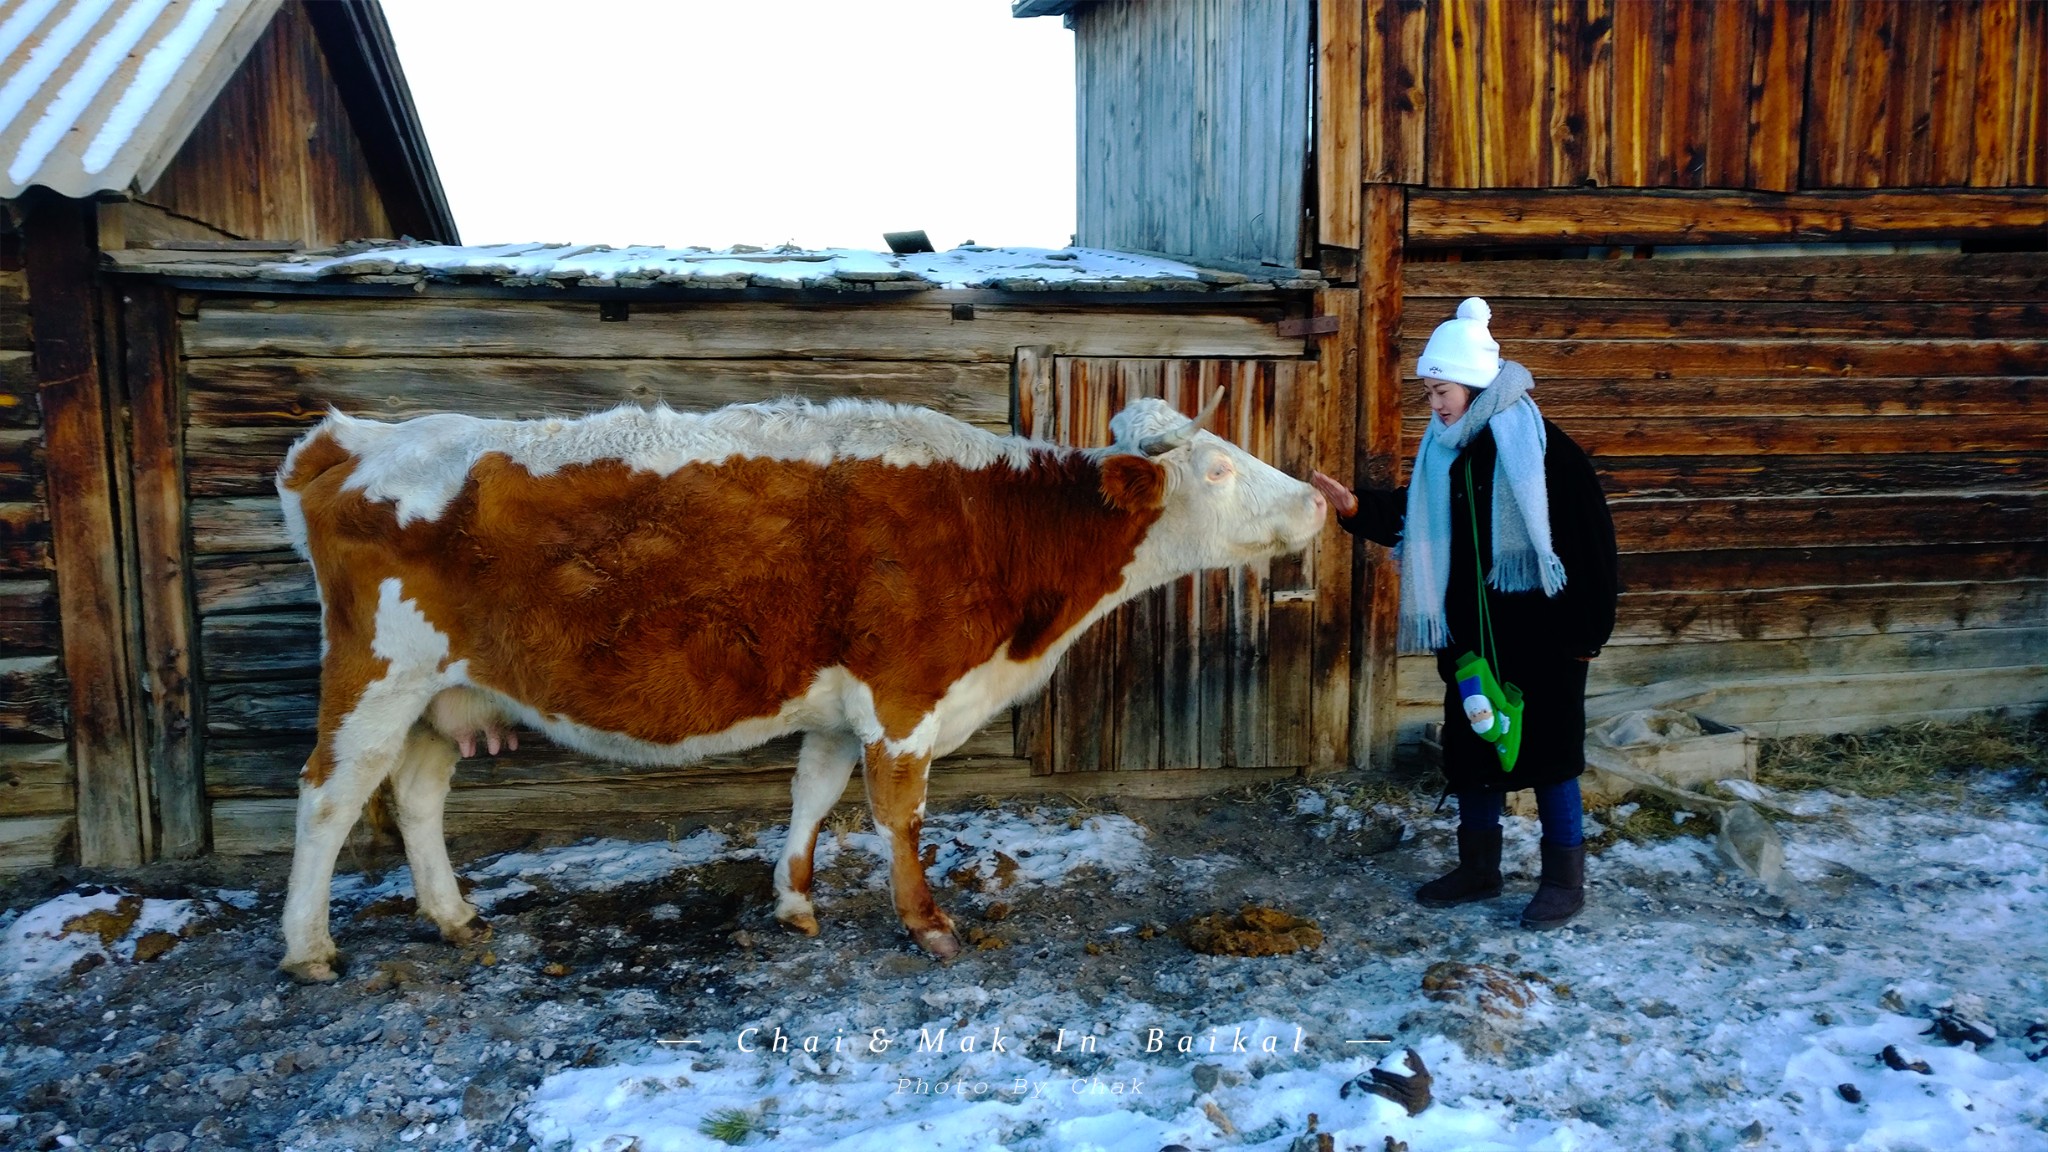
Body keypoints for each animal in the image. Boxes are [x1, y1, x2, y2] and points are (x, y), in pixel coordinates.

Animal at [276, 389, 1327, 971]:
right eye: (1220, 468)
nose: (1322, 499)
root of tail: (348, 441)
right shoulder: (904, 698)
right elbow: (899, 814)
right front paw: (928, 925)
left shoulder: (838, 705)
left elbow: (814, 795)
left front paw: (794, 902)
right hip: (376, 678)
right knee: (328, 797)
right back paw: (307, 947)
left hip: (439, 700)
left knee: (415, 798)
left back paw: (453, 918)